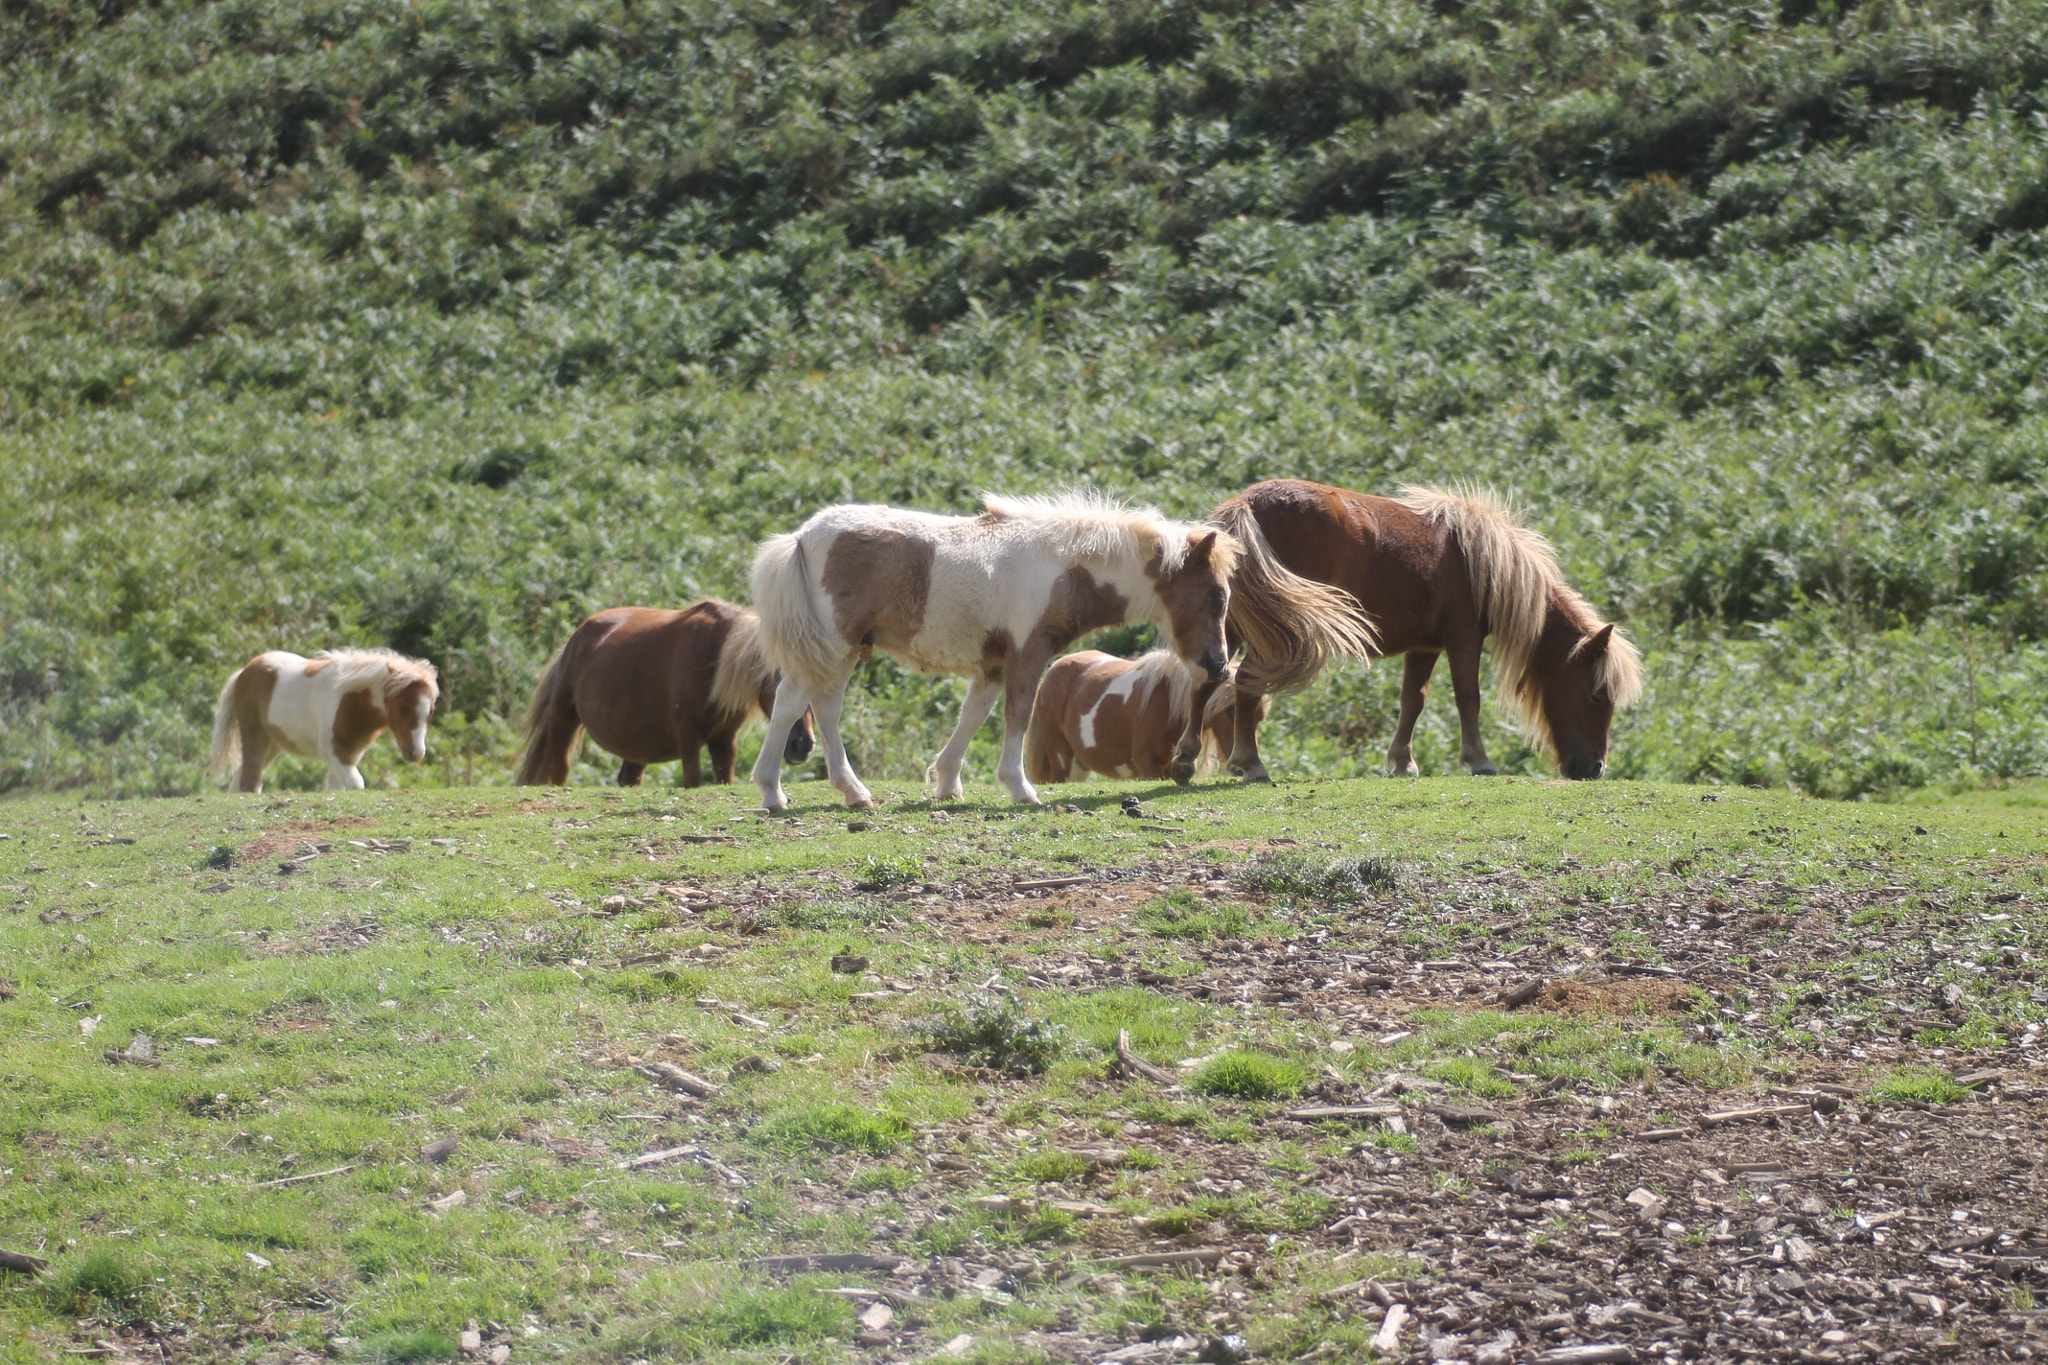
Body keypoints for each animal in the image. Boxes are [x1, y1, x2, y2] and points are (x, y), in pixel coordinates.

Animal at [207, 650, 440, 794]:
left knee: (240, 778)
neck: (350, 700)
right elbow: (356, 784)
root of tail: (243, 672)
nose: (416, 753)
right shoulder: (333, 749)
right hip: (255, 736)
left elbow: (336, 787)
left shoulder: (351, 752)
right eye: (402, 707)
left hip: (273, 745)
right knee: (250, 781)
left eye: (430, 712)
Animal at [512, 601, 815, 789]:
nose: (803, 745)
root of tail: (578, 635)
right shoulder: (688, 736)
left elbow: (724, 778)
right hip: (563, 722)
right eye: (780, 689)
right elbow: (693, 780)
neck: (715, 656)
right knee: (559, 772)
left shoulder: (725, 738)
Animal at [1024, 650, 1228, 785]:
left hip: (1078, 766)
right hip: (1060, 758)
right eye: (1229, 712)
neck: (1168, 699)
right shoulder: (1148, 764)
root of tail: (1052, 670)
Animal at [1179, 480, 1638, 785]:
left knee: (1211, 678)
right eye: (1597, 695)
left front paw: (1403, 762)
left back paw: (1187, 758)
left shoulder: (1424, 646)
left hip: (1236, 624)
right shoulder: (1463, 639)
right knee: (1244, 683)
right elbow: (1468, 698)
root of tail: (1246, 503)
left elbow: (1412, 701)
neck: (1477, 563)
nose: (1595, 768)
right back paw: (1251, 764)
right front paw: (1479, 760)